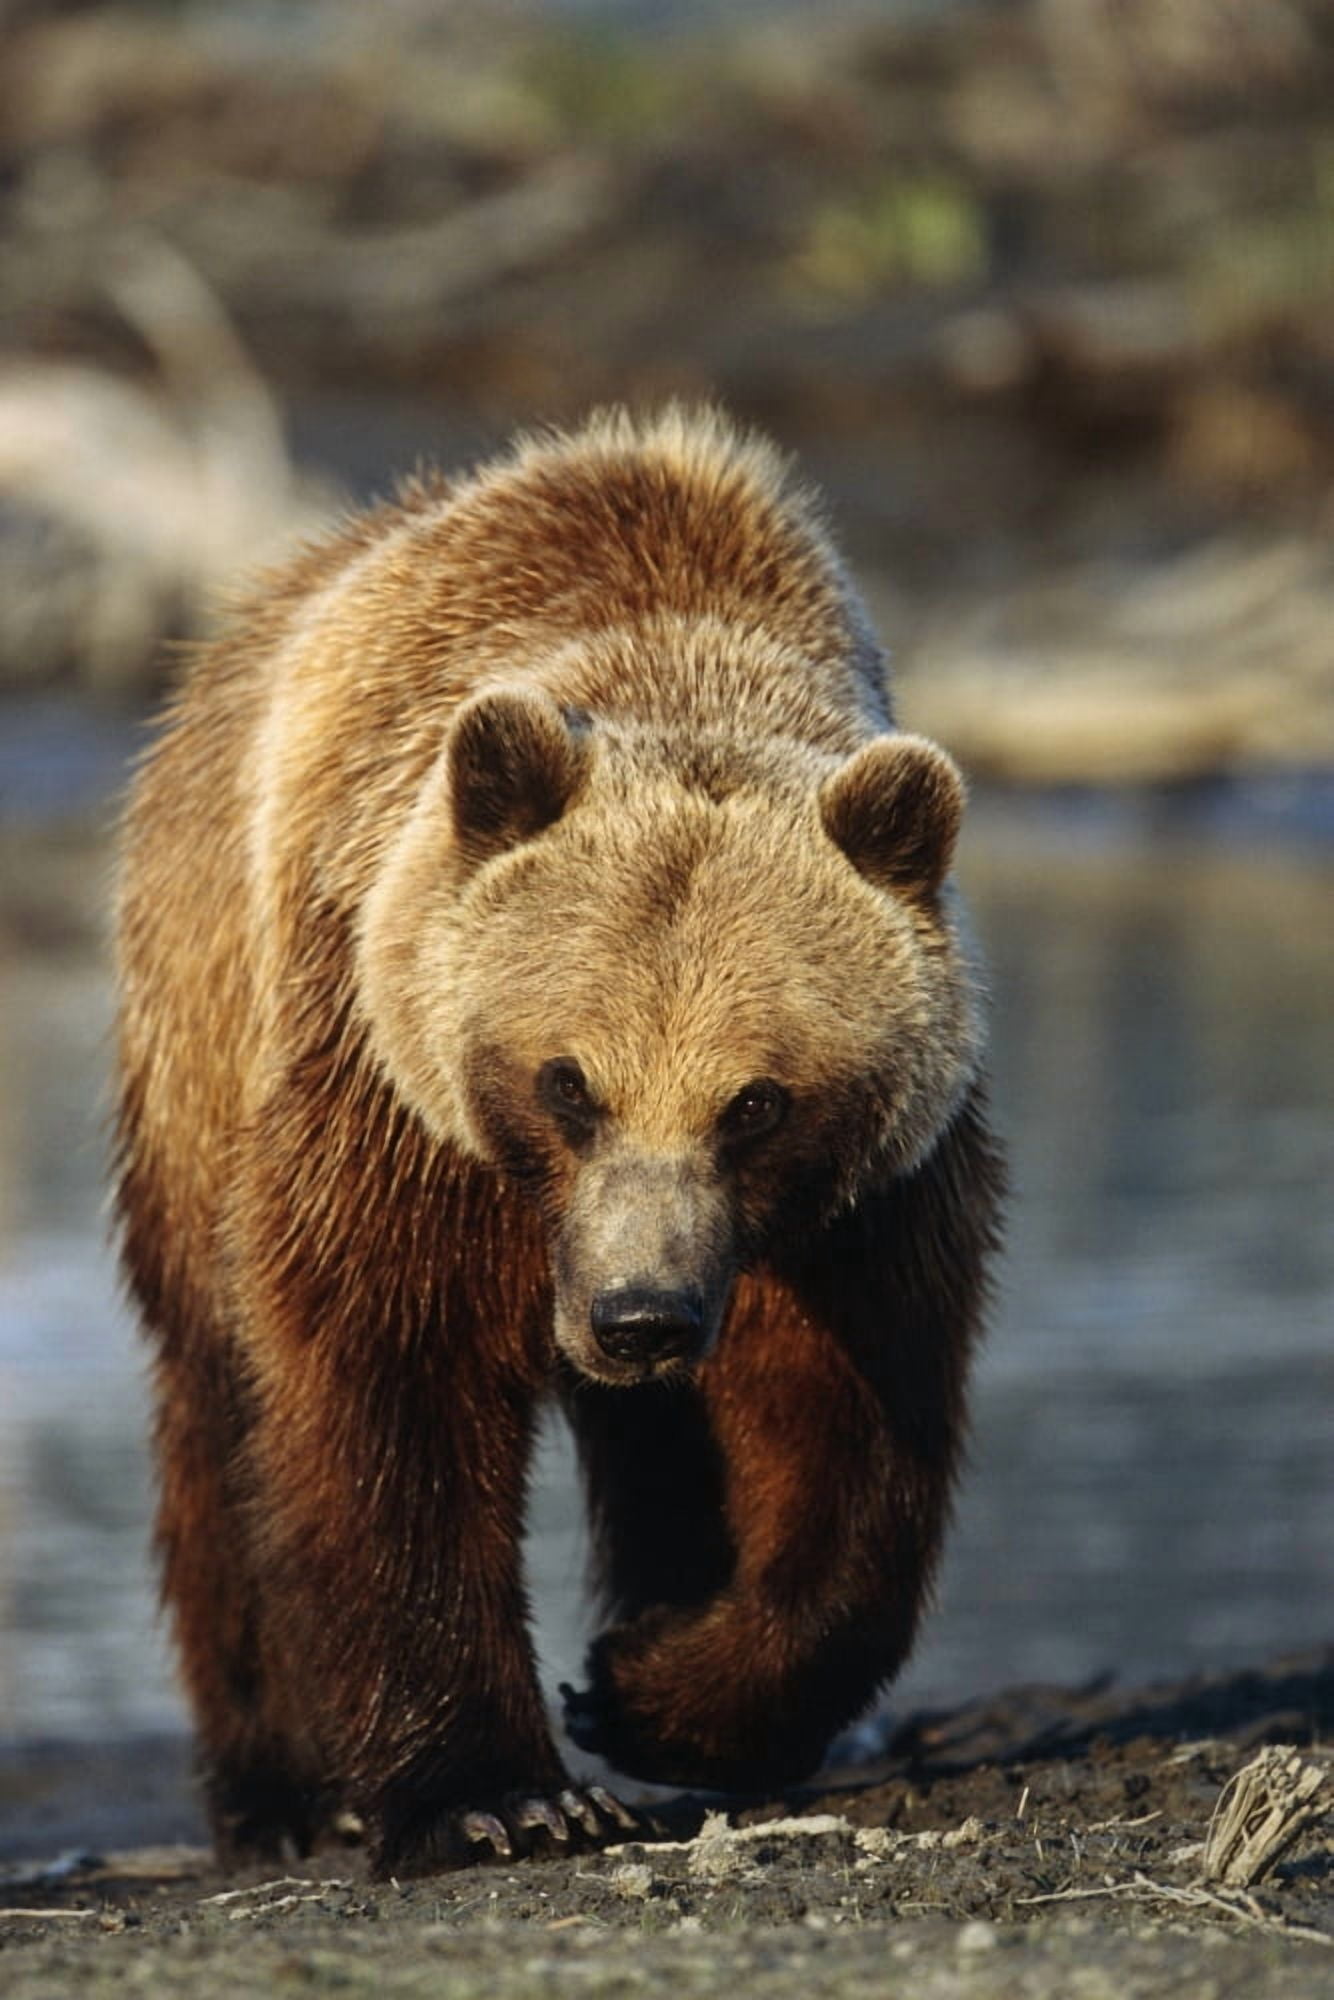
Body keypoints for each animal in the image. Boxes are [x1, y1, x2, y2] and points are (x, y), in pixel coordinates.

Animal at [113, 406, 1004, 1876]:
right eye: (567, 1081)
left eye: (754, 1102)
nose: (638, 1316)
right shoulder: (393, 1095)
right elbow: (389, 1382)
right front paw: (498, 1793)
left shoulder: (855, 1200)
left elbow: (846, 1421)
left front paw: (652, 1688)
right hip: (199, 1023)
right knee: (221, 1390)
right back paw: (277, 1783)